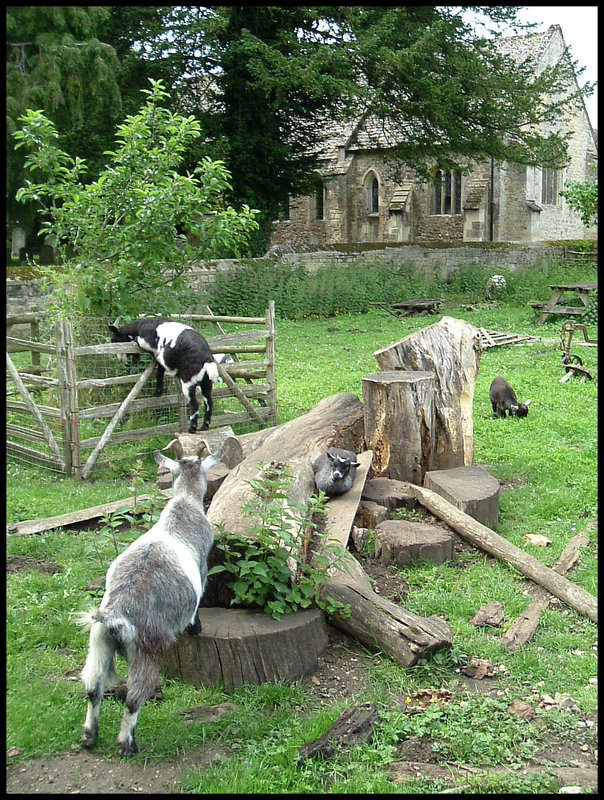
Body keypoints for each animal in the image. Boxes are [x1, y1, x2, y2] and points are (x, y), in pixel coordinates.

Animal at [76, 446, 223, 760]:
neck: (184, 504)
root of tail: (114, 616)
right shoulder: (203, 567)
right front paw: (195, 627)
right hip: (146, 648)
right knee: (133, 698)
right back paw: (126, 744)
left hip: (97, 644)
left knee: (93, 689)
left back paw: (89, 737)